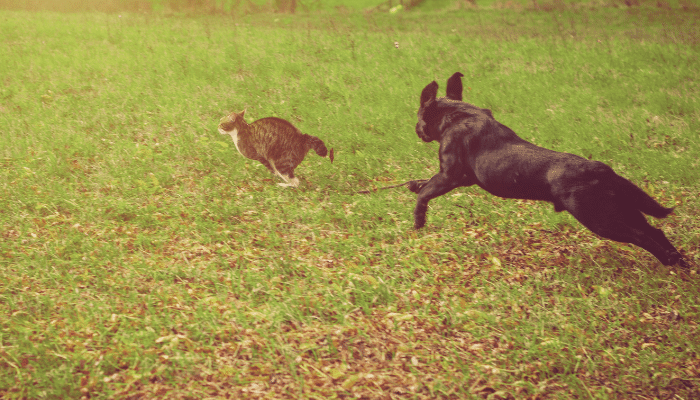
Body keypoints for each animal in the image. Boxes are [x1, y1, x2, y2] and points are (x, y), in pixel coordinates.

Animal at [408, 72, 688, 268]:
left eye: (418, 117)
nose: (417, 130)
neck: (459, 114)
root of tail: (600, 170)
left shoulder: (450, 176)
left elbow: (425, 194)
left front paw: (418, 220)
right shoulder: (458, 179)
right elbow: (424, 184)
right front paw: (414, 184)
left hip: (600, 218)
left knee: (643, 237)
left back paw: (670, 261)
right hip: (622, 210)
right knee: (654, 231)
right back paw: (679, 262)